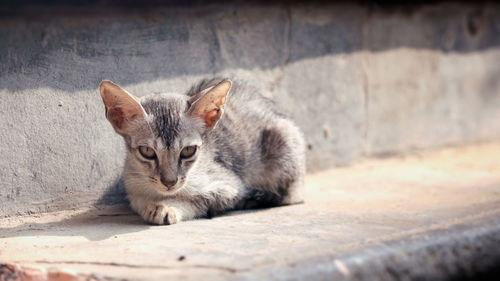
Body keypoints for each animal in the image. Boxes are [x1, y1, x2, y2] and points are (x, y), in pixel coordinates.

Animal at [98, 77, 304, 224]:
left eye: (188, 150)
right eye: (147, 151)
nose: (169, 182)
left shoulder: (230, 186)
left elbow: (199, 201)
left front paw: (166, 207)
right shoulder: (132, 186)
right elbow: (137, 200)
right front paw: (151, 204)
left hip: (282, 140)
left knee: (289, 196)